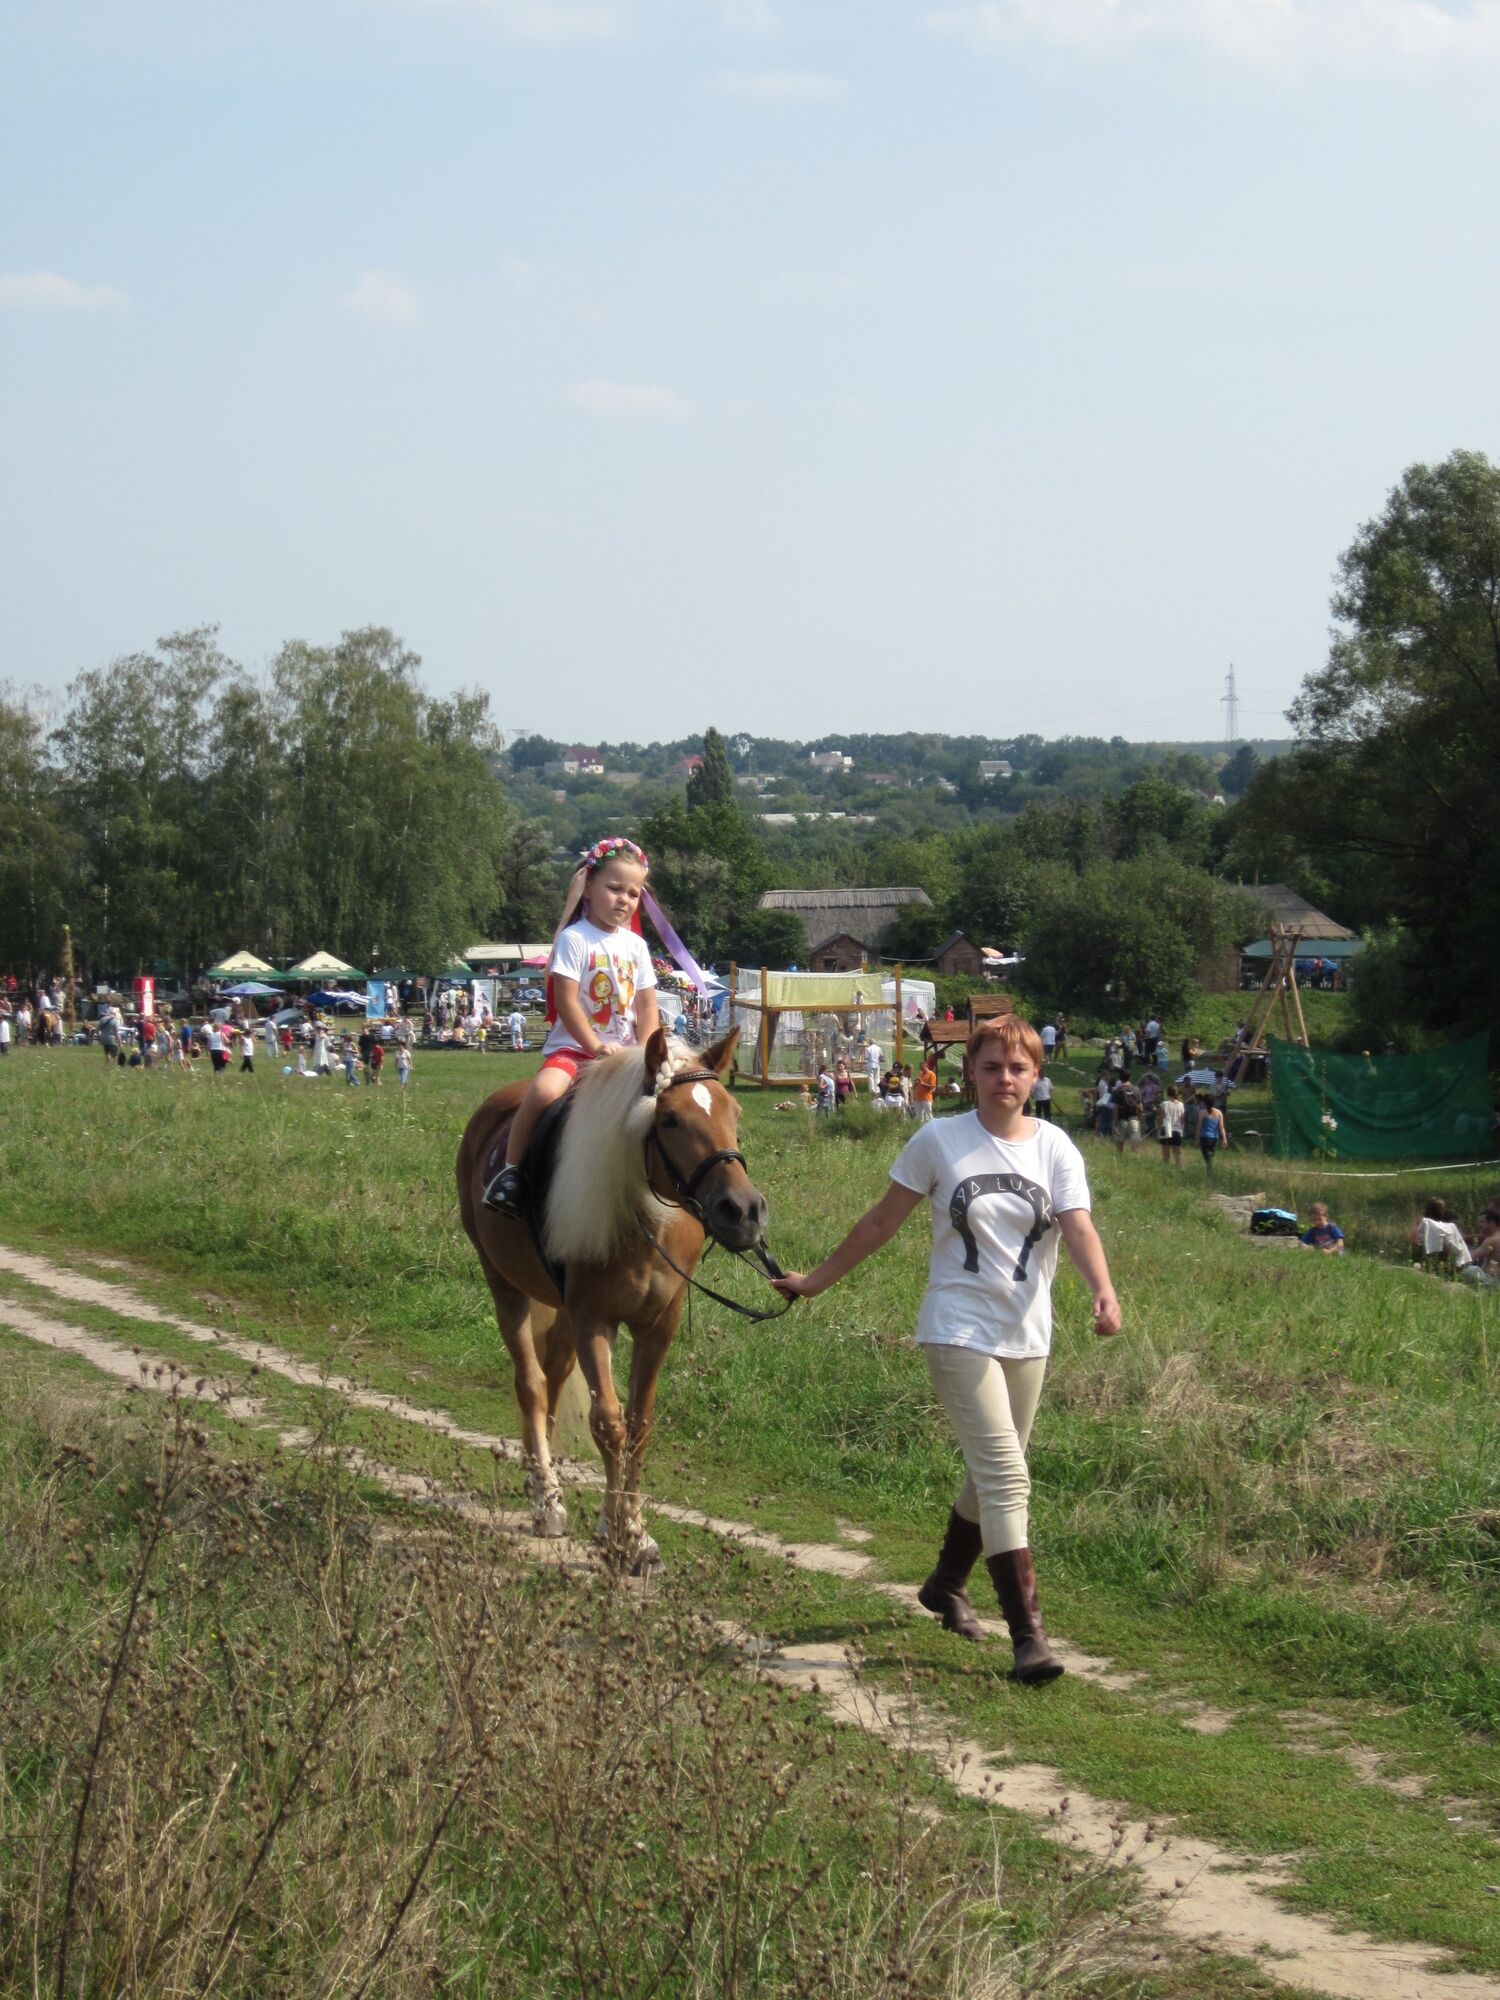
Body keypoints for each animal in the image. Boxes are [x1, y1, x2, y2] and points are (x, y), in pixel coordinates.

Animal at [456, 1032, 764, 1576]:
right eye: (669, 1119)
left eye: (734, 1112)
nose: (743, 1211)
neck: (642, 1217)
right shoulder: (593, 1319)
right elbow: (608, 1423)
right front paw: (623, 1536)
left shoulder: (657, 1325)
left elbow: (639, 1426)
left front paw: (629, 1530)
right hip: (505, 1287)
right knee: (531, 1384)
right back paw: (546, 1500)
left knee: (554, 1377)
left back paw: (541, 1479)